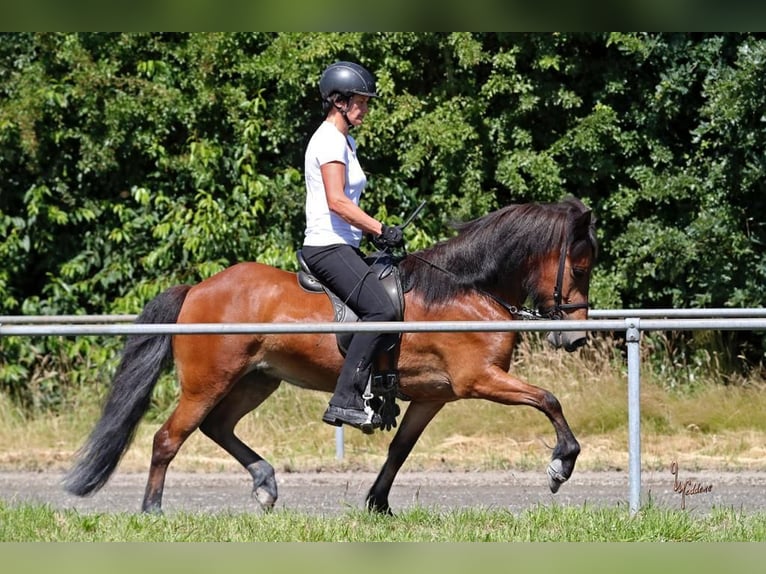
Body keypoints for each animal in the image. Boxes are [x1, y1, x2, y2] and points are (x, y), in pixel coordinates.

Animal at [63, 196, 600, 516]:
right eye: (580, 265)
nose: (575, 339)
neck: (464, 292)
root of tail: (197, 288)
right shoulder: (480, 379)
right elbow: (549, 399)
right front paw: (561, 466)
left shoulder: (434, 397)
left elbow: (400, 449)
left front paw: (378, 504)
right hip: (207, 381)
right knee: (168, 437)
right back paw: (153, 510)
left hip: (256, 380)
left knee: (218, 427)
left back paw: (265, 483)